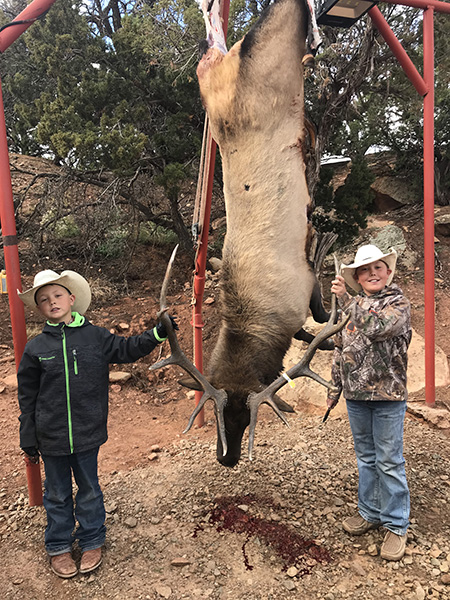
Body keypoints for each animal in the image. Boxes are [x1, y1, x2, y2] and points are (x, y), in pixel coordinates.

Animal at [149, 0, 346, 466]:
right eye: (219, 415)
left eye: (245, 414)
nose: (227, 457)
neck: (259, 324)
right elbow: (313, 330)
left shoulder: (305, 289)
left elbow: (317, 318)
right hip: (219, 76)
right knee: (212, 47)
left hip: (270, 65)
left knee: (262, 25)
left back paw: (312, 32)